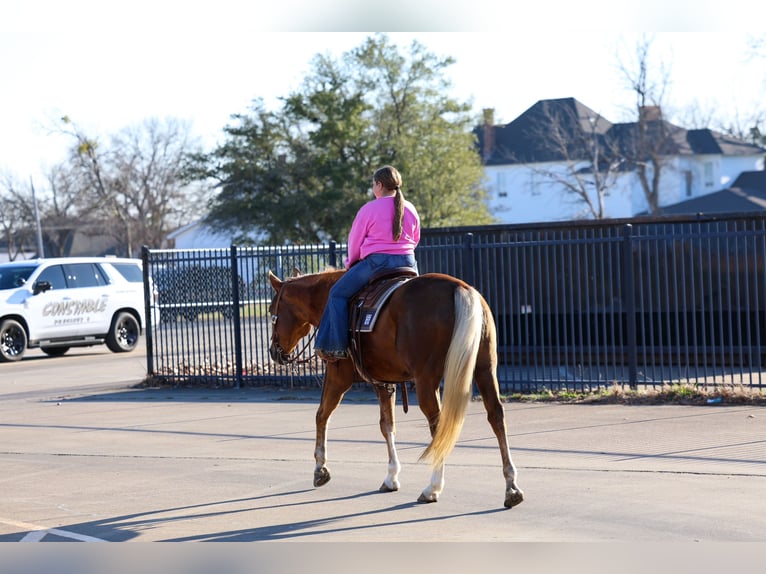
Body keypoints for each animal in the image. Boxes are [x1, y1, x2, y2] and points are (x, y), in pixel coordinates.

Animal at [267, 268, 524, 509]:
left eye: (272, 312)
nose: (273, 351)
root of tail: (460, 288)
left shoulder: (338, 376)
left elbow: (322, 415)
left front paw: (320, 468)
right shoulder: (384, 383)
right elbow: (387, 426)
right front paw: (391, 476)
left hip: (426, 381)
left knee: (438, 424)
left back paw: (433, 487)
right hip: (485, 369)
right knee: (496, 416)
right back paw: (511, 486)